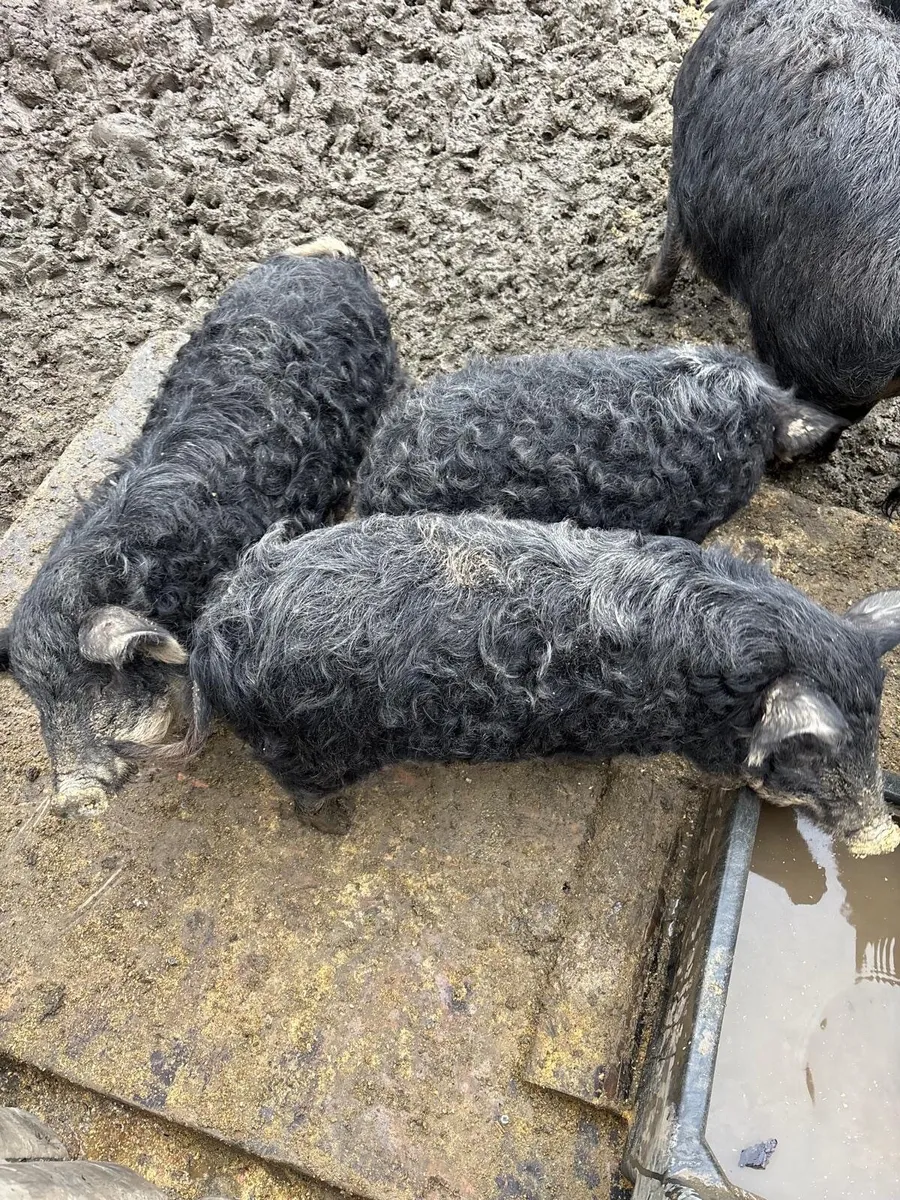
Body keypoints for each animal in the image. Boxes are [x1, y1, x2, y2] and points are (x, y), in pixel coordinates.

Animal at [174, 511, 900, 854]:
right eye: (811, 751)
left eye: (873, 731)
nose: (882, 834)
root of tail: (213, 628)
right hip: (302, 748)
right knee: (303, 794)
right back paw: (339, 824)